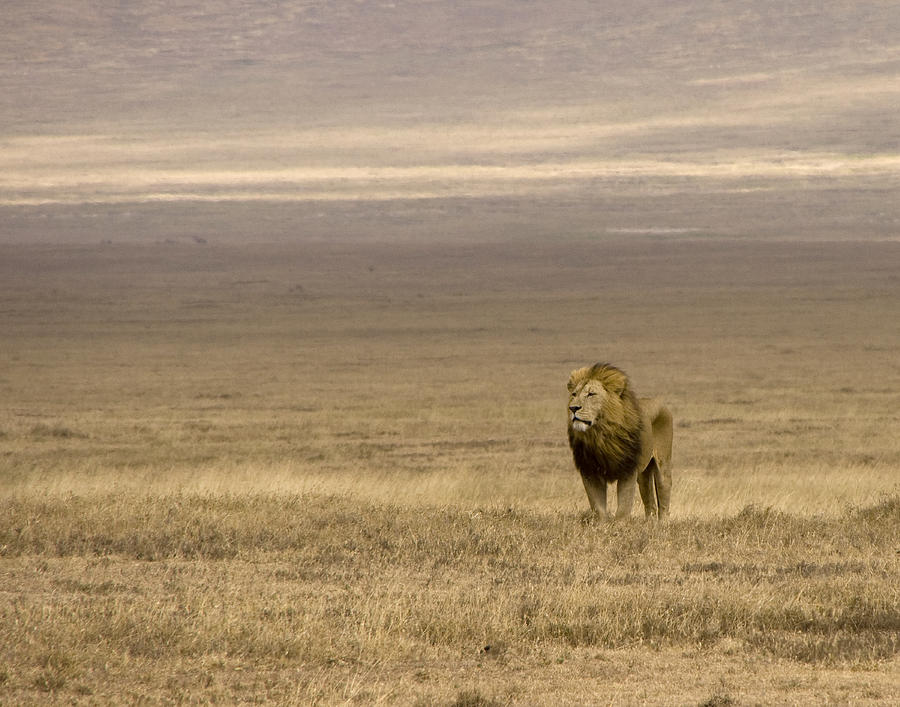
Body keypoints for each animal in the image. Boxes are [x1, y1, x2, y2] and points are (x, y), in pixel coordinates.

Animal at [568, 366, 672, 520]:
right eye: (574, 394)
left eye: (591, 394)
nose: (573, 408)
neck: (600, 435)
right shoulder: (589, 471)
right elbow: (597, 506)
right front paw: (602, 524)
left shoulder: (628, 470)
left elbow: (624, 505)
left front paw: (620, 524)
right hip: (643, 473)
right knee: (650, 501)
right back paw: (649, 523)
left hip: (663, 462)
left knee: (664, 492)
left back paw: (663, 523)